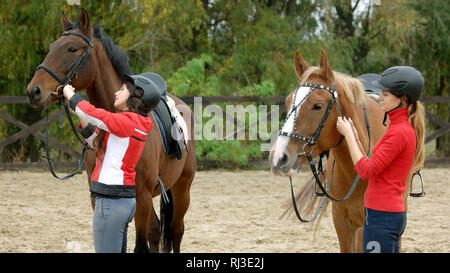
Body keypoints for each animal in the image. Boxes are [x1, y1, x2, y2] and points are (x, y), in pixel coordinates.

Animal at [26, 9, 195, 252]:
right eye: (51, 47)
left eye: (71, 48)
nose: (34, 91)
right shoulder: (98, 196)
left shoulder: (142, 196)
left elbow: (141, 245)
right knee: (156, 229)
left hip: (182, 190)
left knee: (176, 231)